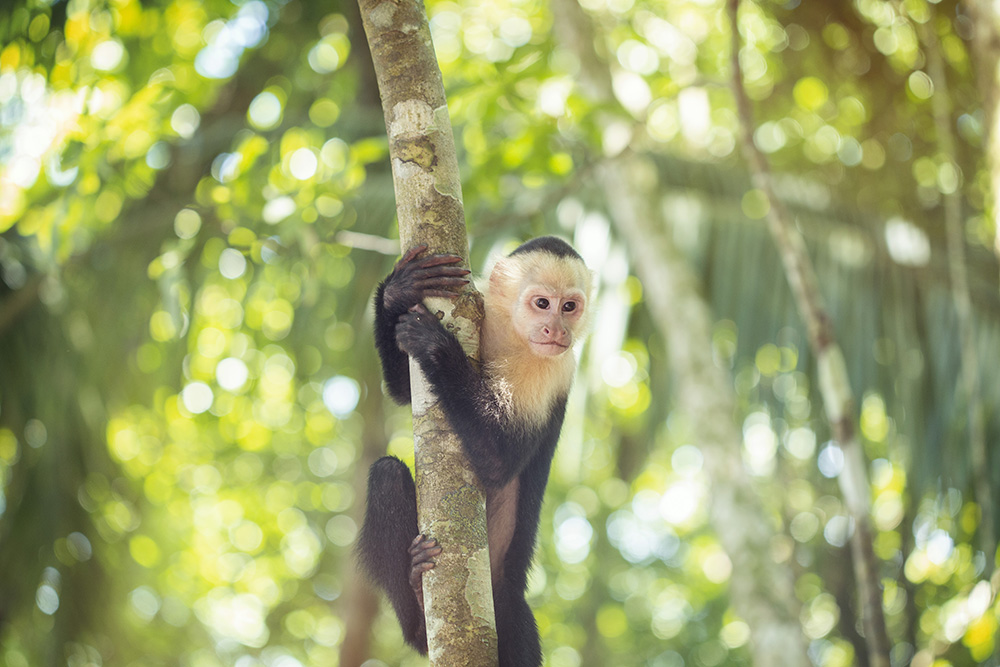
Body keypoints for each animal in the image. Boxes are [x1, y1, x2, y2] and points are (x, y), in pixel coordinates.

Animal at [356, 237, 588, 664]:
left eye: (570, 306)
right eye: (542, 303)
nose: (557, 329)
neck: (512, 335)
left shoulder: (550, 370)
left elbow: (498, 459)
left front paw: (435, 345)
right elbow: (402, 389)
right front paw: (399, 289)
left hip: (508, 609)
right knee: (386, 475)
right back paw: (417, 605)